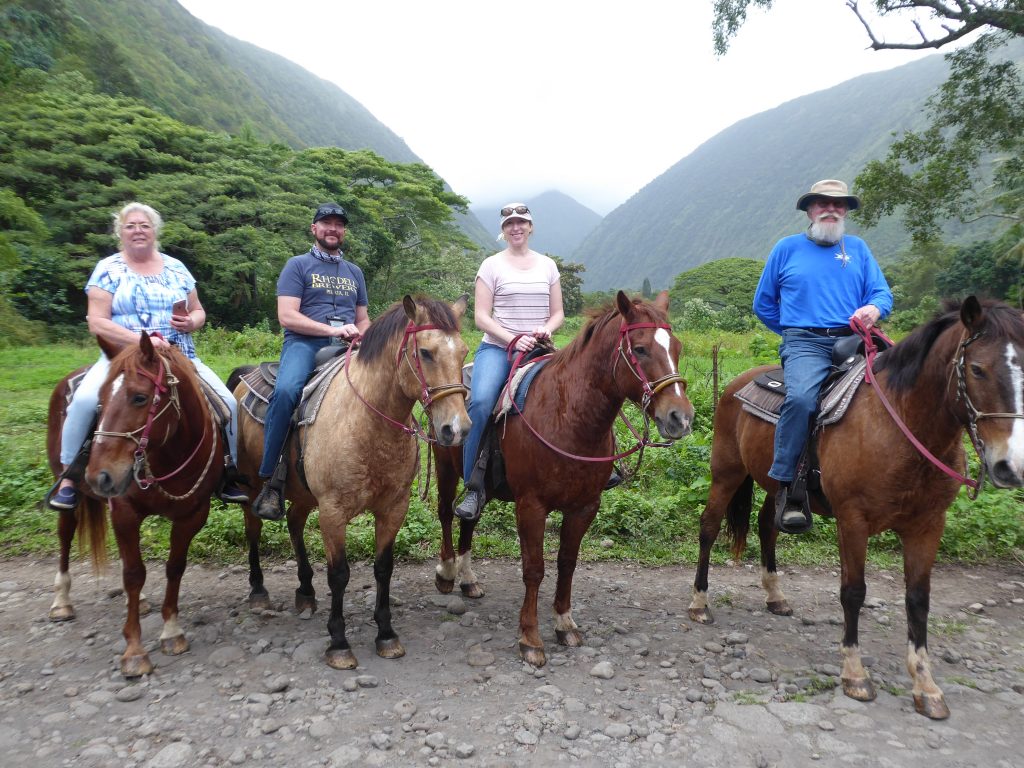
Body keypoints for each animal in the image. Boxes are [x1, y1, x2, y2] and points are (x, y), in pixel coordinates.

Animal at [46, 335, 226, 679]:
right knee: (64, 535)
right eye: (99, 403)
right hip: (67, 491)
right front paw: (134, 651)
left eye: (140, 398)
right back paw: (61, 602)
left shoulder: (192, 515)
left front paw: (172, 631)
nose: (100, 476)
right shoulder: (125, 512)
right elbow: (133, 573)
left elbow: (174, 567)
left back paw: (140, 602)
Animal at [233, 296, 468, 671]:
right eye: (426, 352)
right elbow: (339, 574)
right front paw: (339, 643)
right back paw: (258, 591)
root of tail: (246, 376)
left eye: (463, 352)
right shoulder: (333, 511)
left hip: (303, 494)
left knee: (295, 523)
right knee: (253, 528)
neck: (367, 423)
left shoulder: (393, 508)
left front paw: (386, 634)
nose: (457, 429)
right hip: (254, 485)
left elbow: (383, 568)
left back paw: (305, 592)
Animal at [428, 290, 700, 667]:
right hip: (445, 466)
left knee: (470, 517)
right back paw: (446, 573)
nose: (681, 418)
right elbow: (534, 569)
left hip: (482, 487)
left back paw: (468, 580)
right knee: (444, 513)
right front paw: (530, 639)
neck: (568, 415)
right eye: (641, 348)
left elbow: (567, 564)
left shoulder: (584, 507)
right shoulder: (531, 506)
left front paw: (564, 623)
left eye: (677, 347)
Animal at [688, 296, 1024, 720]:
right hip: (726, 472)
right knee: (709, 527)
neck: (901, 424)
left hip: (775, 482)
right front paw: (854, 674)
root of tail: (738, 383)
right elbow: (853, 591)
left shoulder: (929, 524)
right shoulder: (853, 519)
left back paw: (775, 596)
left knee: (767, 525)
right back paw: (700, 603)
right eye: (977, 369)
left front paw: (926, 686)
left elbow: (918, 599)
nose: (1010, 467)